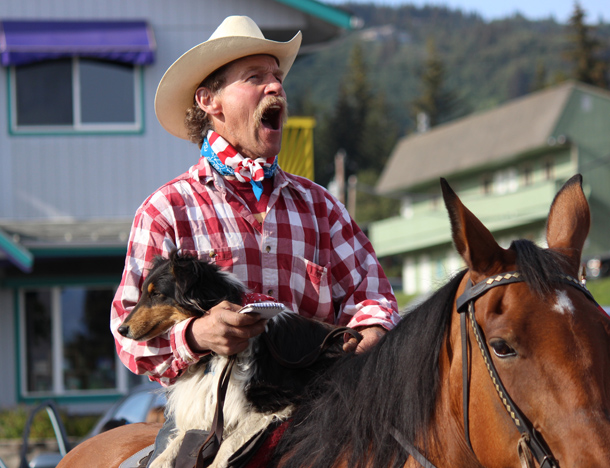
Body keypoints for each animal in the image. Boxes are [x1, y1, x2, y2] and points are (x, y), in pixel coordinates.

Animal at [117, 250, 350, 468]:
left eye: (157, 293)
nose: (121, 330)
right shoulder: (207, 410)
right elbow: (174, 445)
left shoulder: (275, 401)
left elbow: (228, 444)